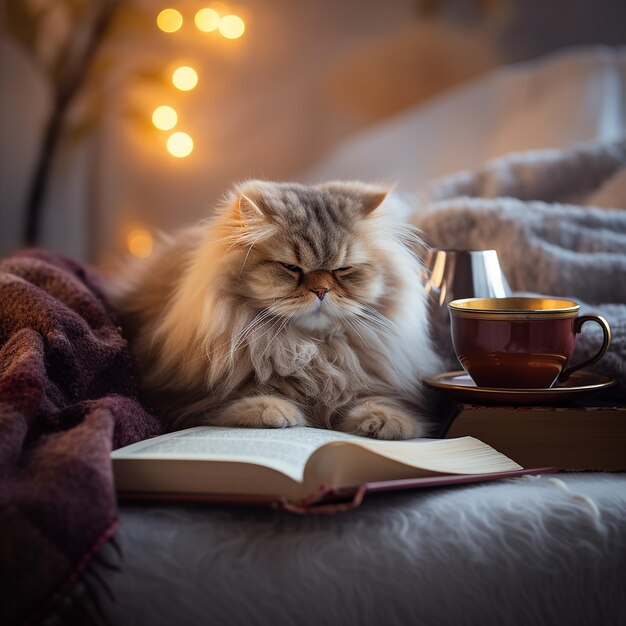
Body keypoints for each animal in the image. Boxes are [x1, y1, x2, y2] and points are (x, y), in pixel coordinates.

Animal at [106, 178, 438, 436]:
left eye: (342, 270)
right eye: (291, 268)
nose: (321, 290)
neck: (310, 349)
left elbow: (377, 399)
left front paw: (385, 422)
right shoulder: (182, 399)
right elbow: (240, 399)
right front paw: (274, 412)